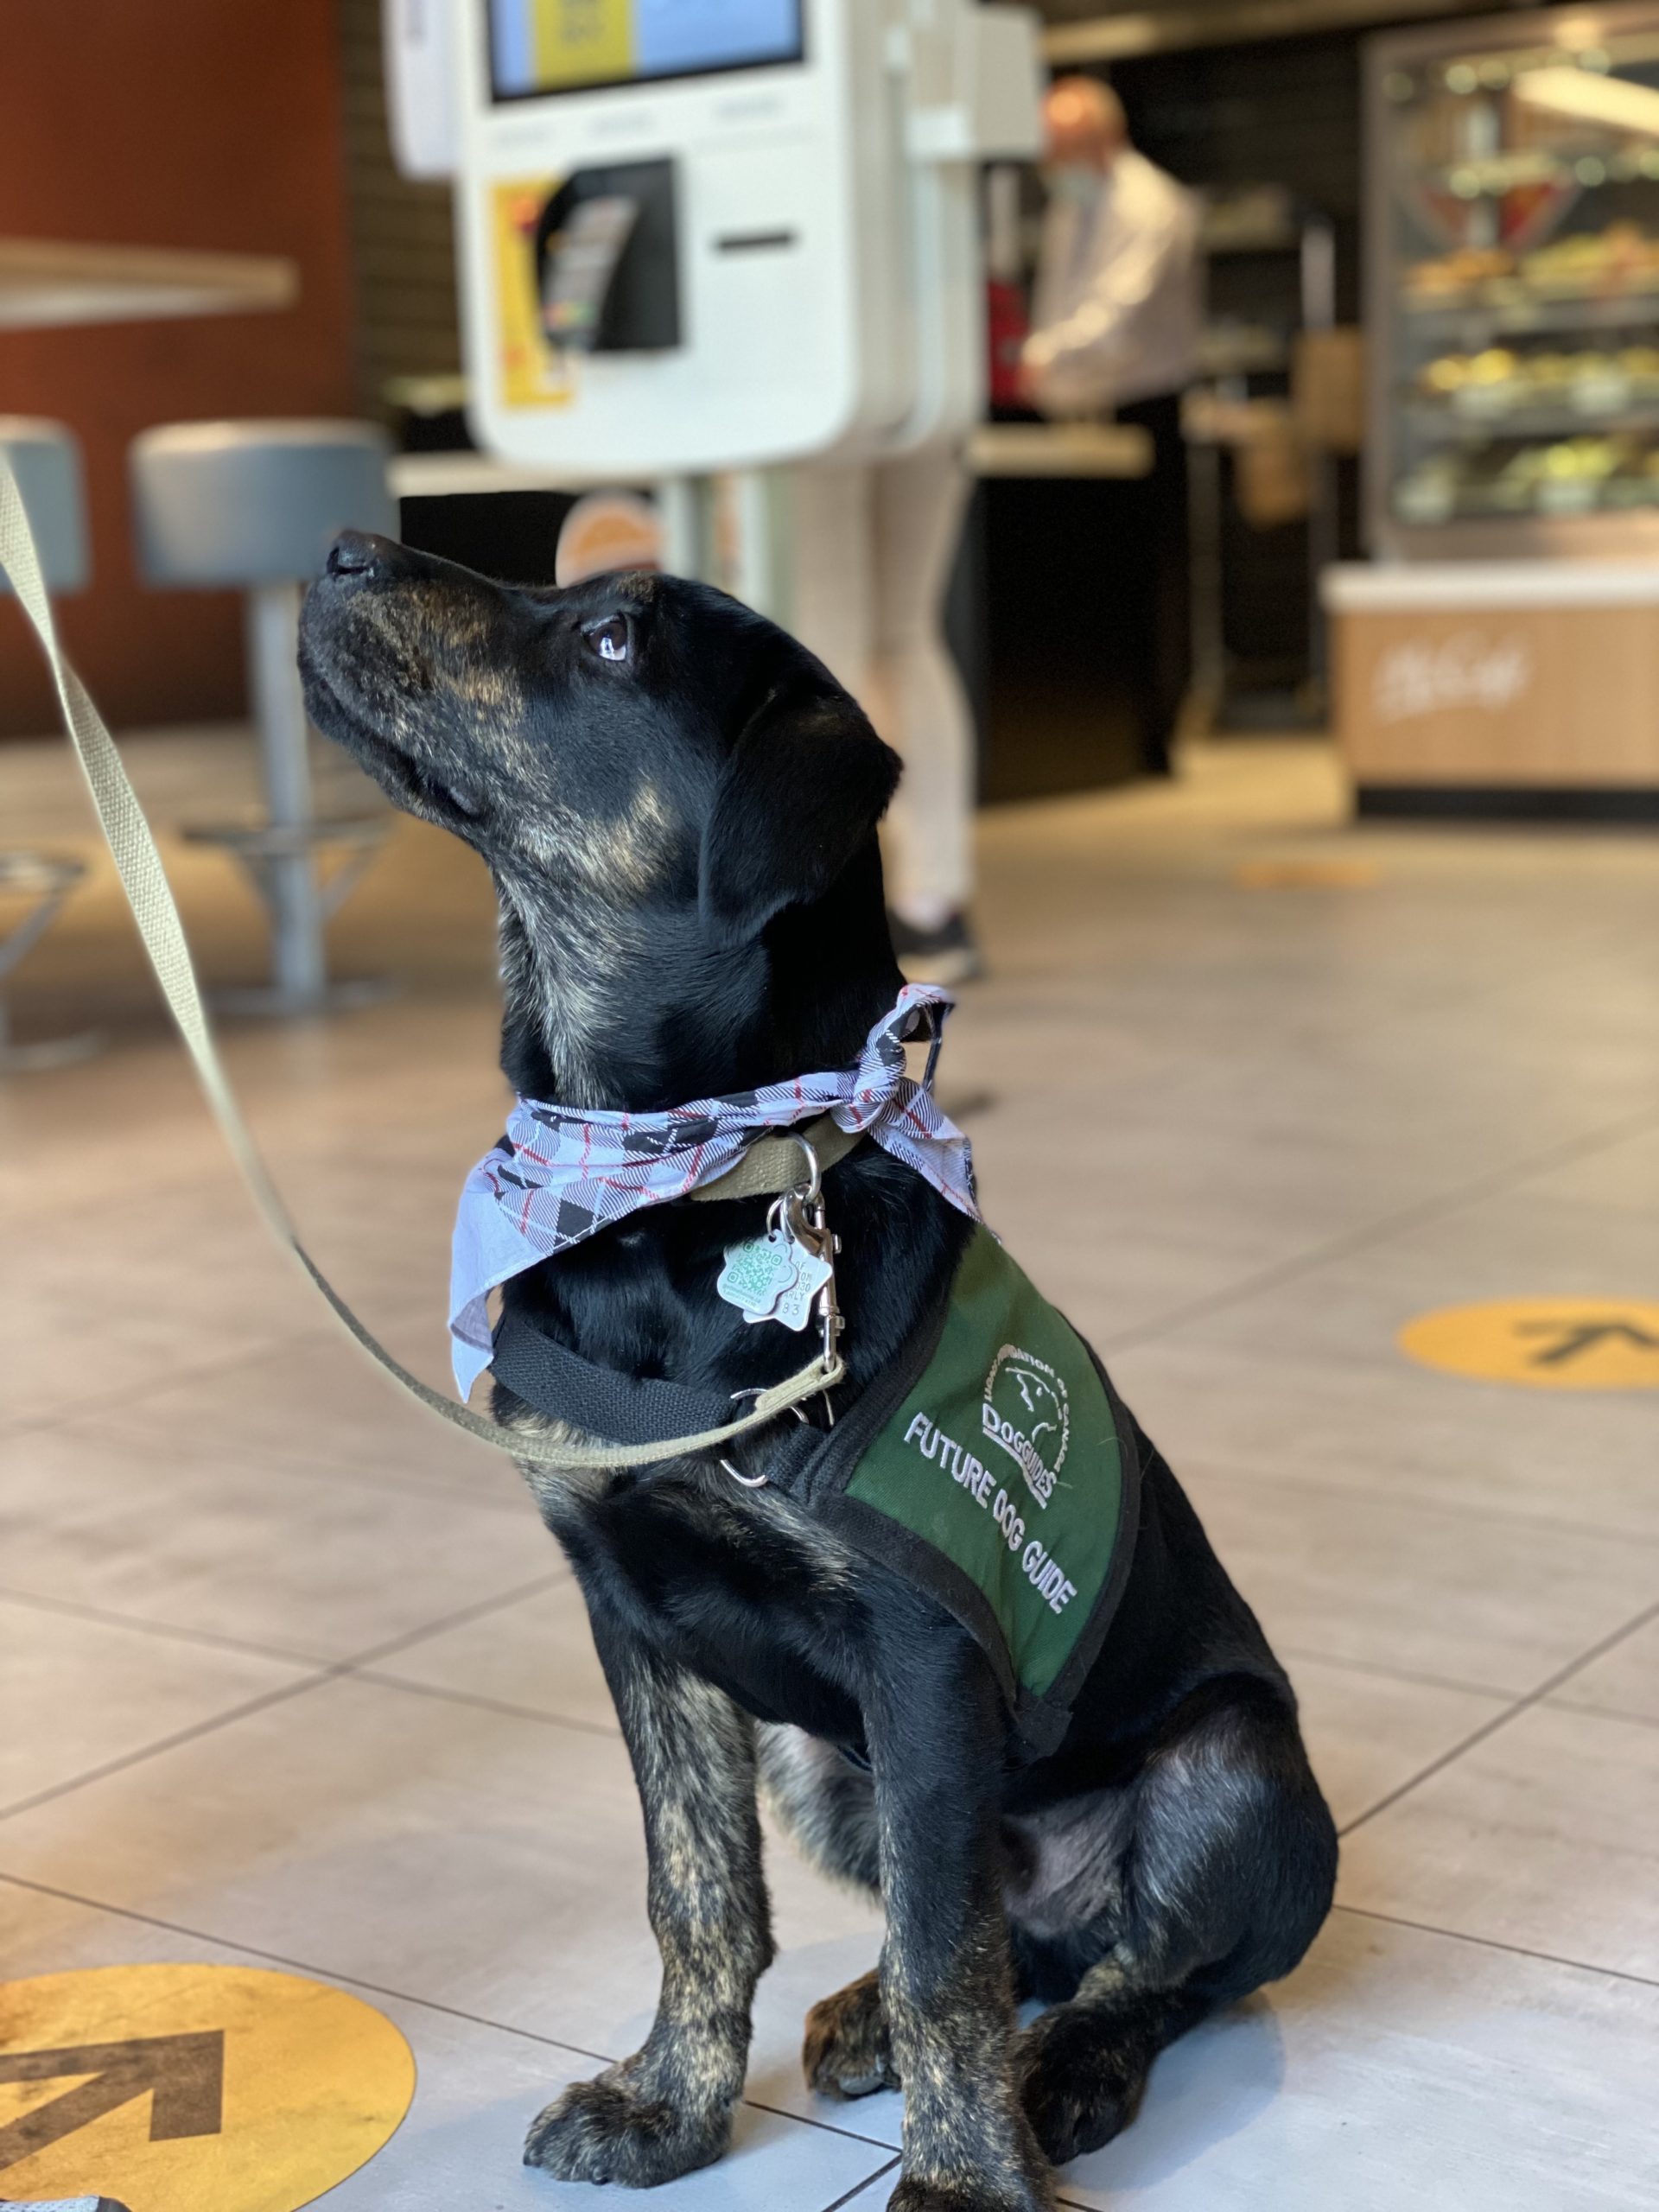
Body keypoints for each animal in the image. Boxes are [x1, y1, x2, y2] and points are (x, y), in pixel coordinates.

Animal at [298, 535, 1336, 2212]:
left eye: (609, 640)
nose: (343, 552)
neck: (676, 1178)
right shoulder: (637, 1617)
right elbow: (699, 1888)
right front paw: (669, 2102)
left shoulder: (921, 1663)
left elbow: (946, 1958)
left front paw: (965, 2182)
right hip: (816, 1758)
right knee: (1026, 1937)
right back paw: (861, 2024)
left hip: (1229, 1769)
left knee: (1139, 1968)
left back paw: (1068, 2072)